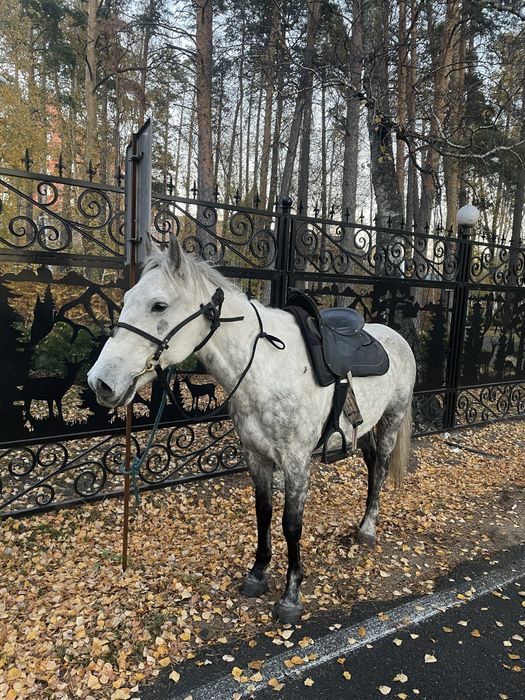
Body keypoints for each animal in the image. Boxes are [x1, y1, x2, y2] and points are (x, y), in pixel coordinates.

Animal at [87, 236, 416, 624]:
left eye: (159, 305)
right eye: (126, 300)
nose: (100, 382)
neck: (265, 366)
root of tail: (395, 336)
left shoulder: (296, 463)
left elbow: (291, 524)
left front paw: (291, 595)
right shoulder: (257, 457)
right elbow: (263, 513)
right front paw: (258, 574)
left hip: (391, 420)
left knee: (380, 468)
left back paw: (367, 529)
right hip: (364, 428)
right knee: (370, 465)